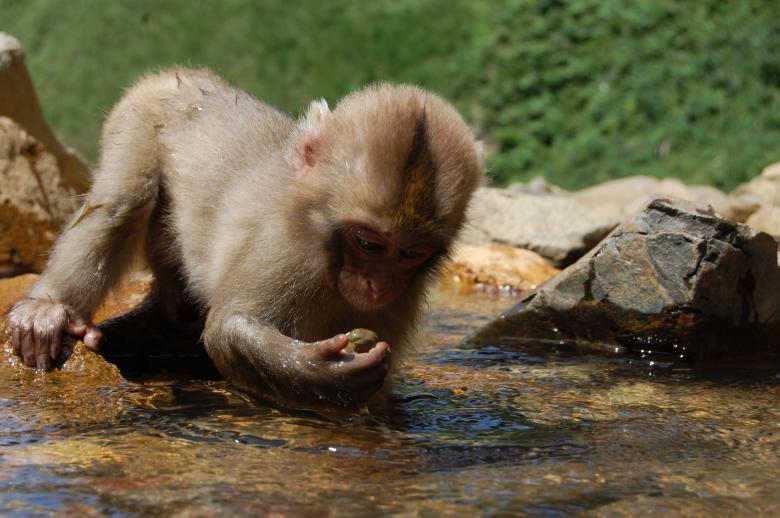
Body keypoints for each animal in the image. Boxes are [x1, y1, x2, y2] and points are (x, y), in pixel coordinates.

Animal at [5, 68, 483, 411]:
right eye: (368, 243)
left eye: (410, 253)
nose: (377, 285)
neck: (325, 249)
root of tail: (179, 73)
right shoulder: (282, 242)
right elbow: (228, 327)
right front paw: (319, 372)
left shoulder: (402, 299)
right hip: (135, 119)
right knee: (123, 202)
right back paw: (50, 308)